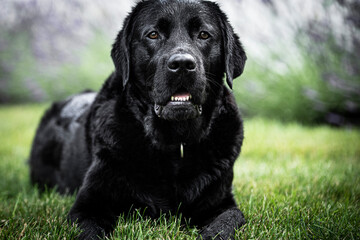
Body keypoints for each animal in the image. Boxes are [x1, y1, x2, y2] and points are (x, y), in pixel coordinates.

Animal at [29, 0, 246, 239]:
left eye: (204, 35)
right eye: (153, 34)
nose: (182, 64)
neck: (174, 142)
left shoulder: (222, 203)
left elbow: (228, 220)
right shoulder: (89, 204)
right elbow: (90, 230)